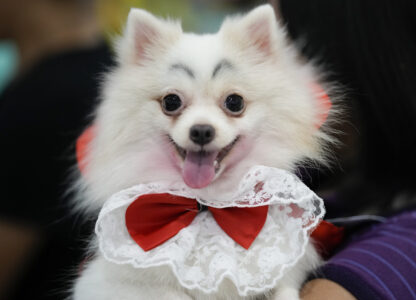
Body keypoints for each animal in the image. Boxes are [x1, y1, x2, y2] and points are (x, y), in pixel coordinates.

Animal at [72, 4, 334, 300]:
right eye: (171, 102)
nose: (201, 131)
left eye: (235, 102)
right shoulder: (103, 282)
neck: (207, 202)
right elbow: (169, 294)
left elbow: (286, 287)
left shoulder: (290, 264)